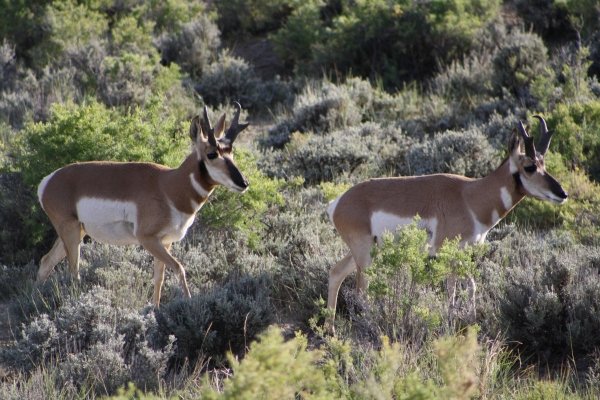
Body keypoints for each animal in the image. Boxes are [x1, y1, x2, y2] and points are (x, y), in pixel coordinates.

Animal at [37, 101, 248, 304]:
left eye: (231, 152)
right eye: (212, 154)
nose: (244, 183)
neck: (168, 186)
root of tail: (47, 181)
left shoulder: (165, 241)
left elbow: (159, 278)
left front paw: (155, 309)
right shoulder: (147, 239)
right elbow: (179, 268)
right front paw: (189, 303)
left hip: (76, 232)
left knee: (46, 262)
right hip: (71, 232)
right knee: (74, 272)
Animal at [328, 117, 568, 330]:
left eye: (543, 164)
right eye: (529, 166)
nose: (562, 194)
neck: (469, 196)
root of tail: (338, 202)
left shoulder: (467, 251)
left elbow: (471, 285)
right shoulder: (448, 252)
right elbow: (452, 289)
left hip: (366, 251)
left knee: (336, 272)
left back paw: (330, 331)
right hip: (365, 254)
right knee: (361, 290)